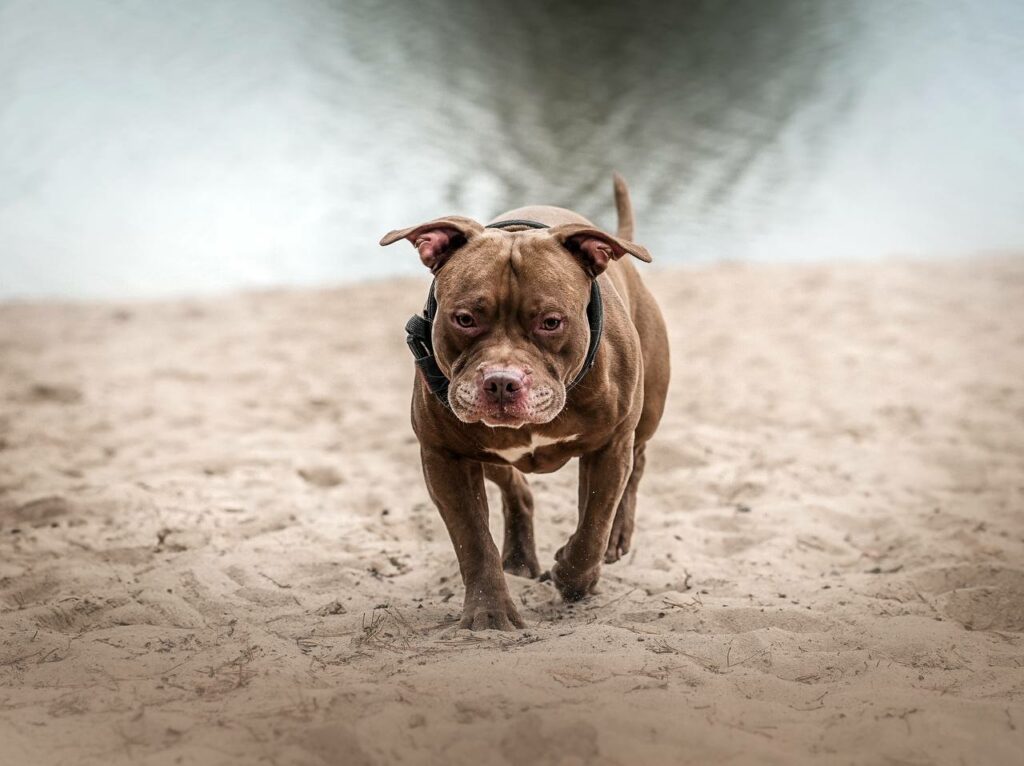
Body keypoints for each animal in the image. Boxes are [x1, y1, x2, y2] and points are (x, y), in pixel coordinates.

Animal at [380, 176, 667, 630]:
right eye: (465, 319)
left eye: (551, 322)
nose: (501, 383)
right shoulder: (444, 457)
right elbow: (474, 542)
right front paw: (490, 615)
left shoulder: (610, 446)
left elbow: (594, 525)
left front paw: (573, 574)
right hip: (486, 452)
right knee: (516, 488)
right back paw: (518, 558)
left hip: (646, 415)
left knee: (634, 468)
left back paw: (615, 540)